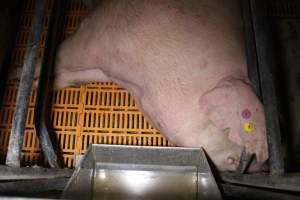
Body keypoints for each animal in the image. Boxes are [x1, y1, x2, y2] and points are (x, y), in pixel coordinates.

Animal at [52, 0, 268, 172]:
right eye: (229, 131)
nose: (259, 165)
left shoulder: (103, 68)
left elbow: (71, 76)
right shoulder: (96, 34)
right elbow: (61, 54)